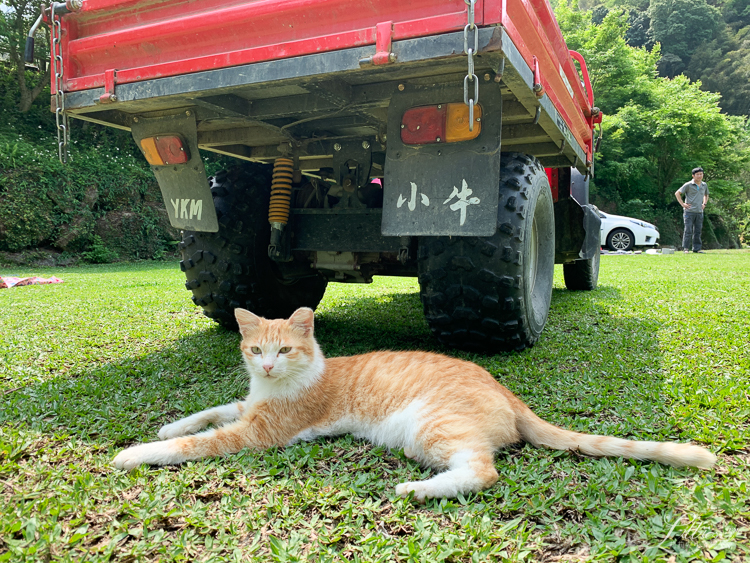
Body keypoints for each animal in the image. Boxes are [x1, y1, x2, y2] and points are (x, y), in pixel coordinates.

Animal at [113, 306, 716, 500]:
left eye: (285, 350)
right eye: (255, 349)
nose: (265, 366)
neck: (275, 387)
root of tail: (508, 391)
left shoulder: (257, 433)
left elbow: (198, 443)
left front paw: (134, 453)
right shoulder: (247, 409)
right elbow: (208, 413)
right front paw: (168, 426)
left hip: (429, 428)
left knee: (482, 471)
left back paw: (416, 490)